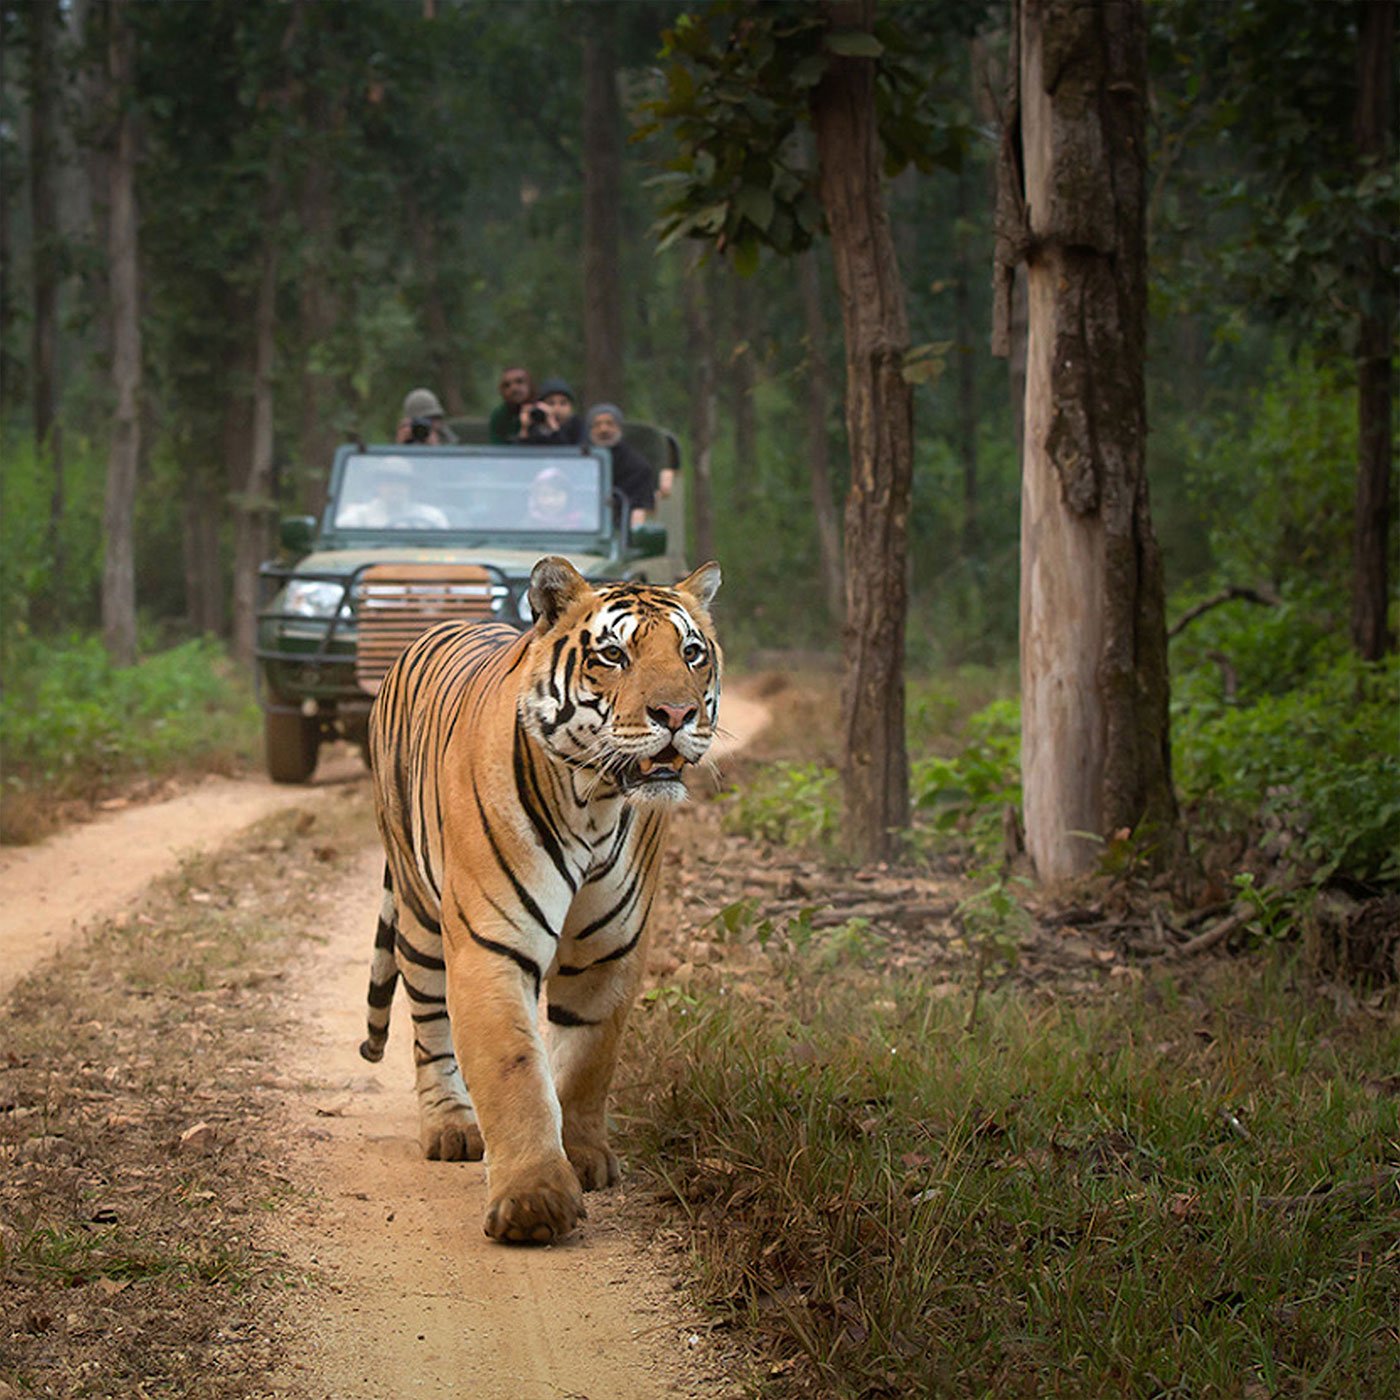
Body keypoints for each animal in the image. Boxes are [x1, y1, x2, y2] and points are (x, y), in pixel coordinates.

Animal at [358, 555, 722, 1244]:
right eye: (613, 655)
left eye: (692, 653)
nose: (677, 714)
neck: (596, 801)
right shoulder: (492, 944)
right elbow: (513, 1067)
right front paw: (534, 1200)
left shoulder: (610, 951)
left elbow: (584, 1060)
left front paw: (583, 1157)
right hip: (418, 912)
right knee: (428, 1026)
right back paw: (450, 1126)